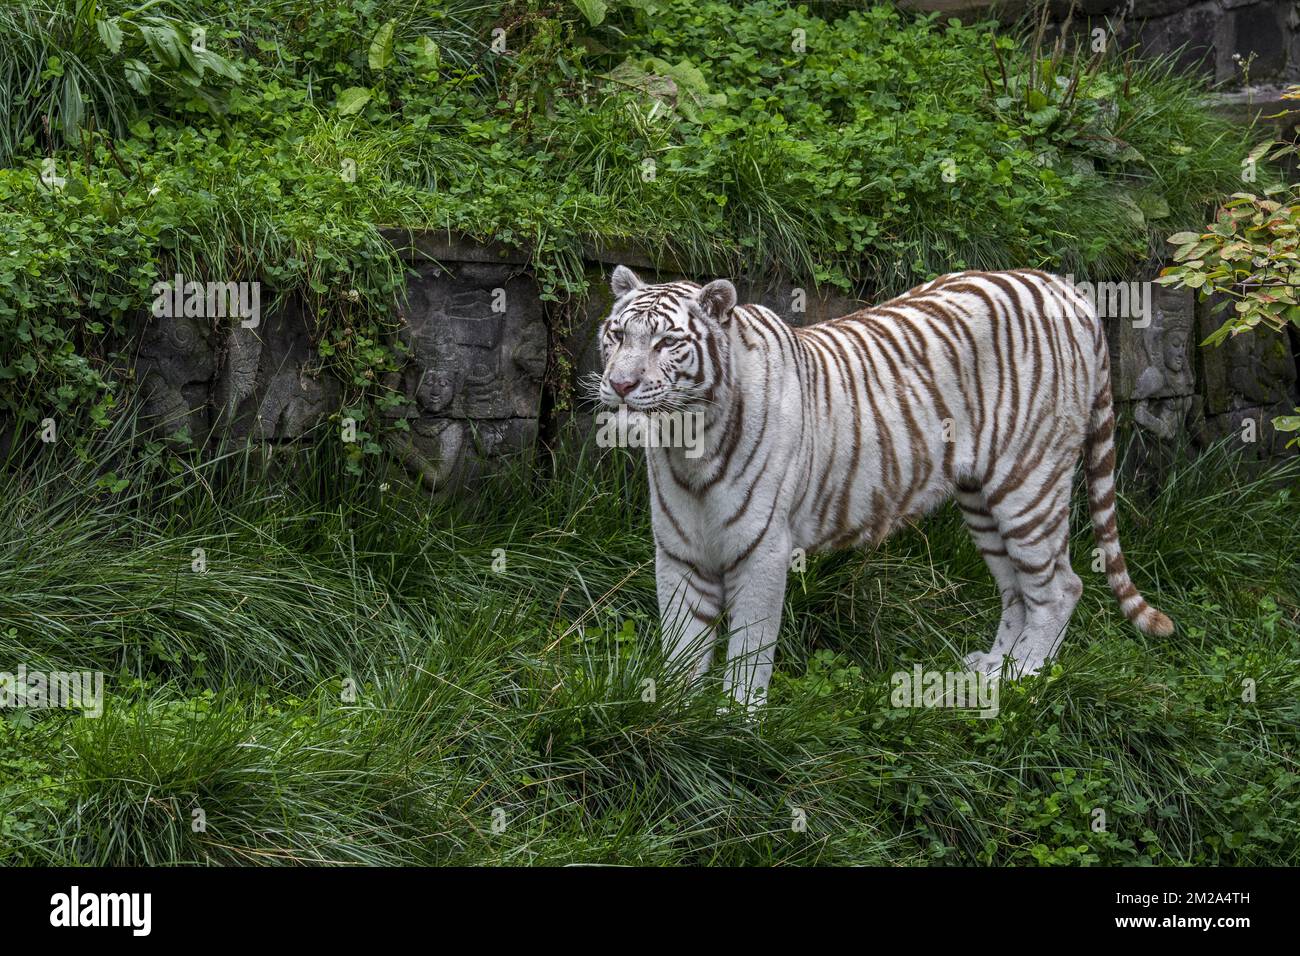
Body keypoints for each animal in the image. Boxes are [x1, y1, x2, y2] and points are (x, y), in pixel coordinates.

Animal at [595, 264, 1173, 709]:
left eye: (667, 342)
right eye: (617, 336)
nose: (620, 385)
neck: (687, 442)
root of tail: (1064, 287)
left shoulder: (762, 551)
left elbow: (749, 648)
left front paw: (736, 721)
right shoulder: (680, 553)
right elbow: (682, 645)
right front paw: (677, 713)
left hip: (1027, 484)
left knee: (1060, 588)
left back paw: (1022, 678)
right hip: (981, 499)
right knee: (1016, 590)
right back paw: (992, 667)